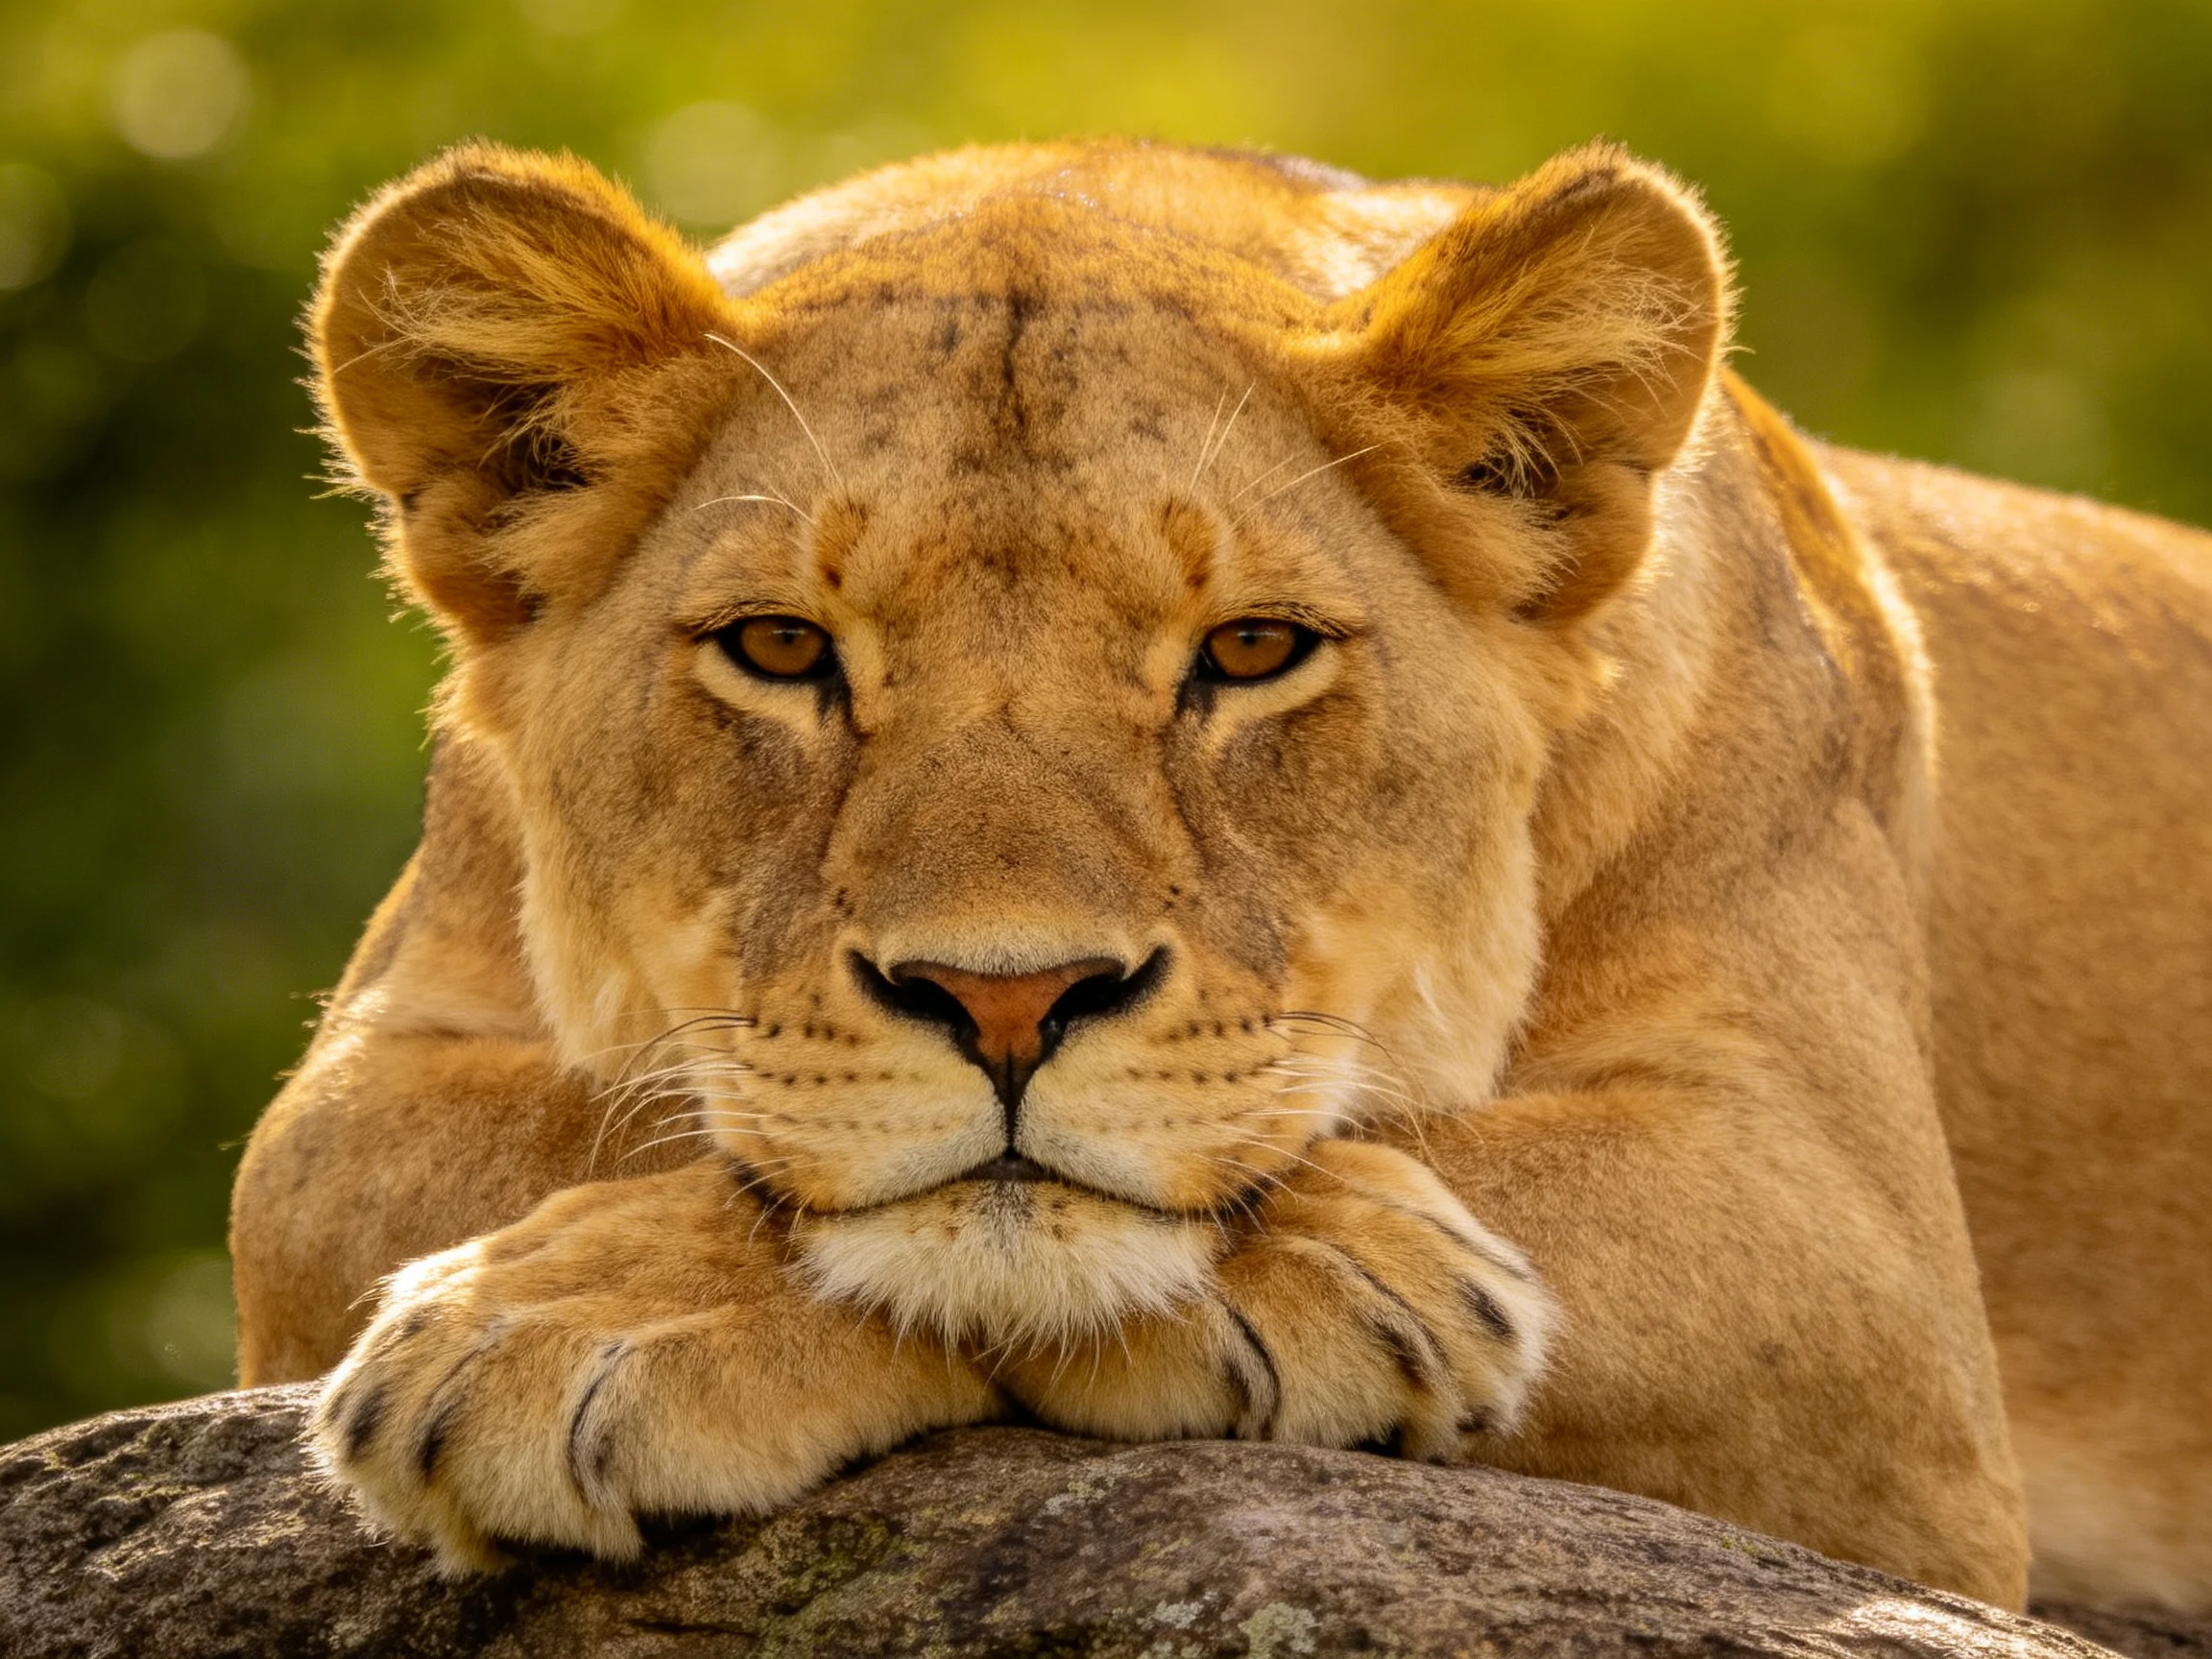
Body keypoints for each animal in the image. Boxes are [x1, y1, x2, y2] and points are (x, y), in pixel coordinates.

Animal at [225, 138, 2212, 1614]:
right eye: (780, 648)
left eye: (1250, 650)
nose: (1006, 997)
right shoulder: (360, 1075)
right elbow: (549, 1133)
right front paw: (580, 1305)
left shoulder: (1863, 1271)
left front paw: (1353, 1271)